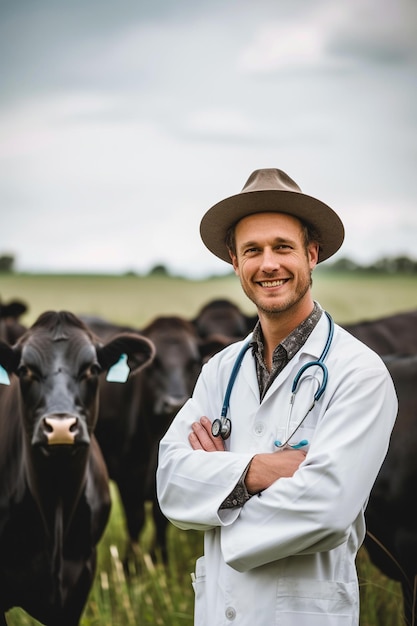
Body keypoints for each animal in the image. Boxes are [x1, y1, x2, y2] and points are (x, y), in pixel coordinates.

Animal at [87, 312, 228, 564]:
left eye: (193, 363)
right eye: (154, 364)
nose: (174, 403)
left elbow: (160, 518)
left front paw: (159, 560)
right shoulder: (127, 476)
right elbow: (136, 520)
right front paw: (130, 565)